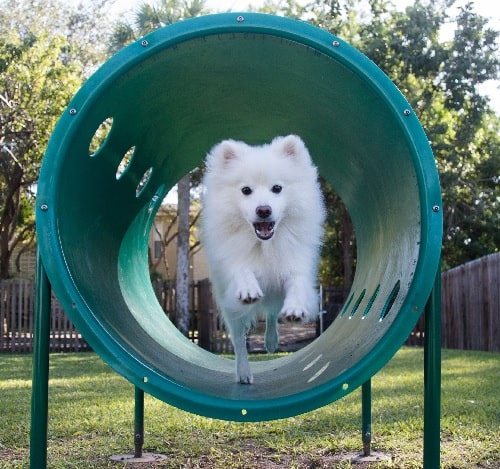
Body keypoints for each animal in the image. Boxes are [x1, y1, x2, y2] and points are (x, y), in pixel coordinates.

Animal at [201, 135, 326, 384]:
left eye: (277, 188)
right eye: (246, 190)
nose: (264, 210)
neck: (265, 244)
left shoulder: (294, 263)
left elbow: (297, 285)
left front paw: (295, 308)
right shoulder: (233, 261)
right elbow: (242, 270)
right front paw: (249, 289)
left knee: (271, 315)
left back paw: (270, 341)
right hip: (232, 312)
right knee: (239, 339)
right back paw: (243, 372)